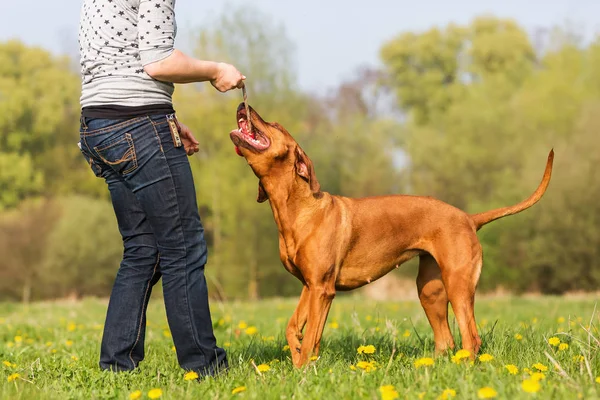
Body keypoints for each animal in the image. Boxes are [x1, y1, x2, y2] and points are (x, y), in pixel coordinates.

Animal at [230, 102, 552, 366]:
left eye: (276, 124)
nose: (243, 104)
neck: (298, 209)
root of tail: (468, 218)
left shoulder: (323, 289)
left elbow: (312, 340)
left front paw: (305, 373)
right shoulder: (309, 286)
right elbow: (293, 328)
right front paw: (296, 360)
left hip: (458, 285)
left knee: (471, 338)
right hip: (430, 290)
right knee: (446, 340)